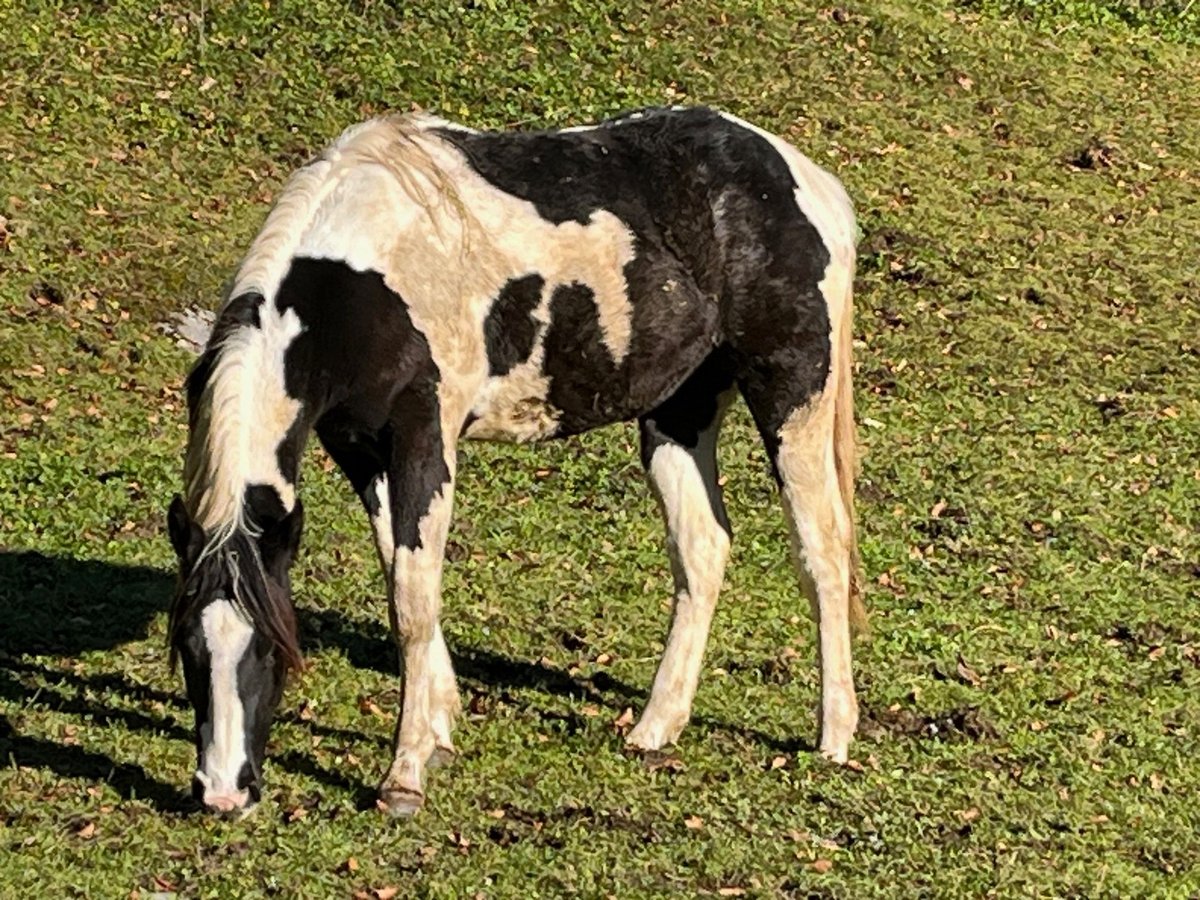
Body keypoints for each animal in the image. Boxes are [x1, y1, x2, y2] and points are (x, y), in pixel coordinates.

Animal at [166, 105, 864, 816]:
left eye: (270, 650)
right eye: (190, 648)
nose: (223, 792)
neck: (363, 277)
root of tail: (800, 176)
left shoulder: (423, 439)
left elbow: (412, 601)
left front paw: (405, 775)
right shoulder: (360, 450)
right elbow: (401, 577)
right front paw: (440, 726)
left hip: (792, 399)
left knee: (823, 551)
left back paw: (834, 735)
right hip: (679, 412)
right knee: (703, 548)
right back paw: (655, 727)